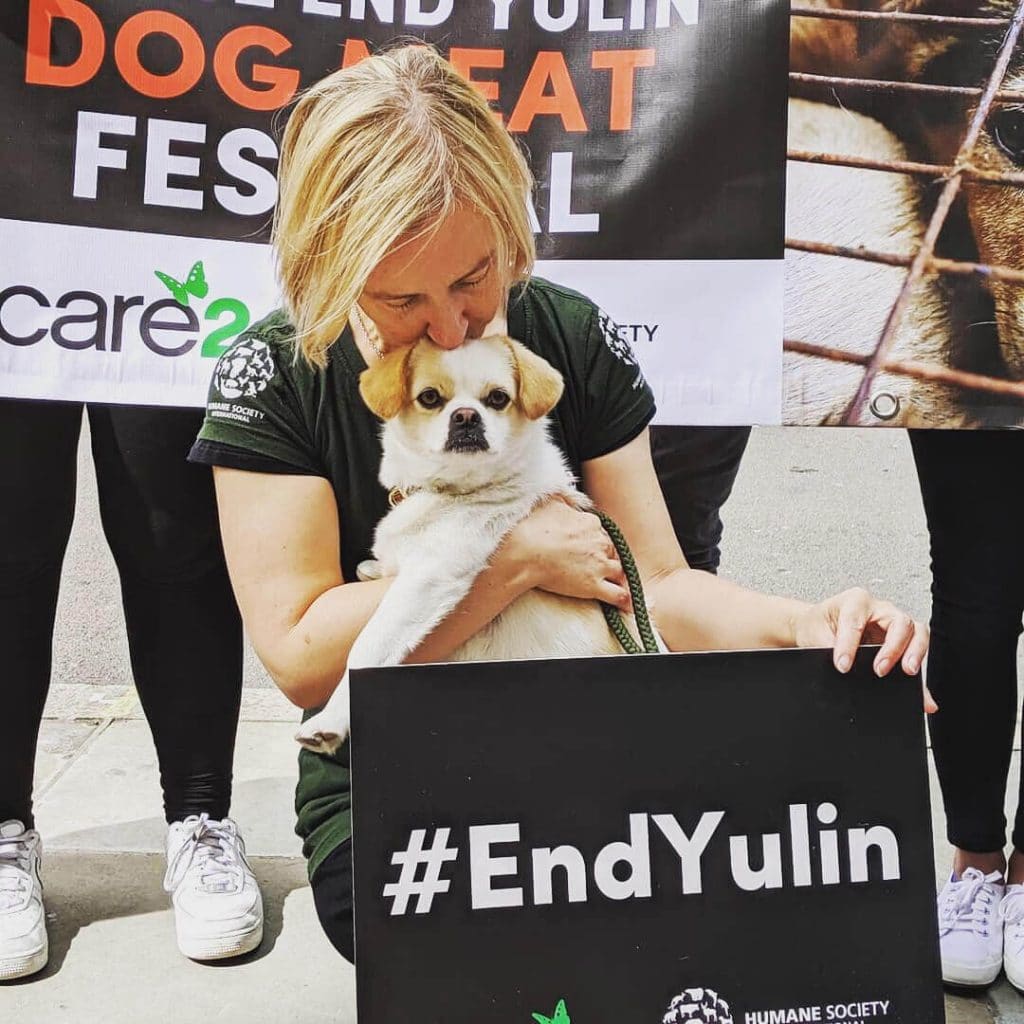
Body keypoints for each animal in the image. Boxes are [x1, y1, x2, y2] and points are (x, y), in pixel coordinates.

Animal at [292, 331, 651, 757]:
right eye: (430, 397)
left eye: (497, 398)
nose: (466, 416)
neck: (454, 492)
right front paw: (373, 569)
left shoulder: (428, 579)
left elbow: (368, 645)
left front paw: (329, 721)